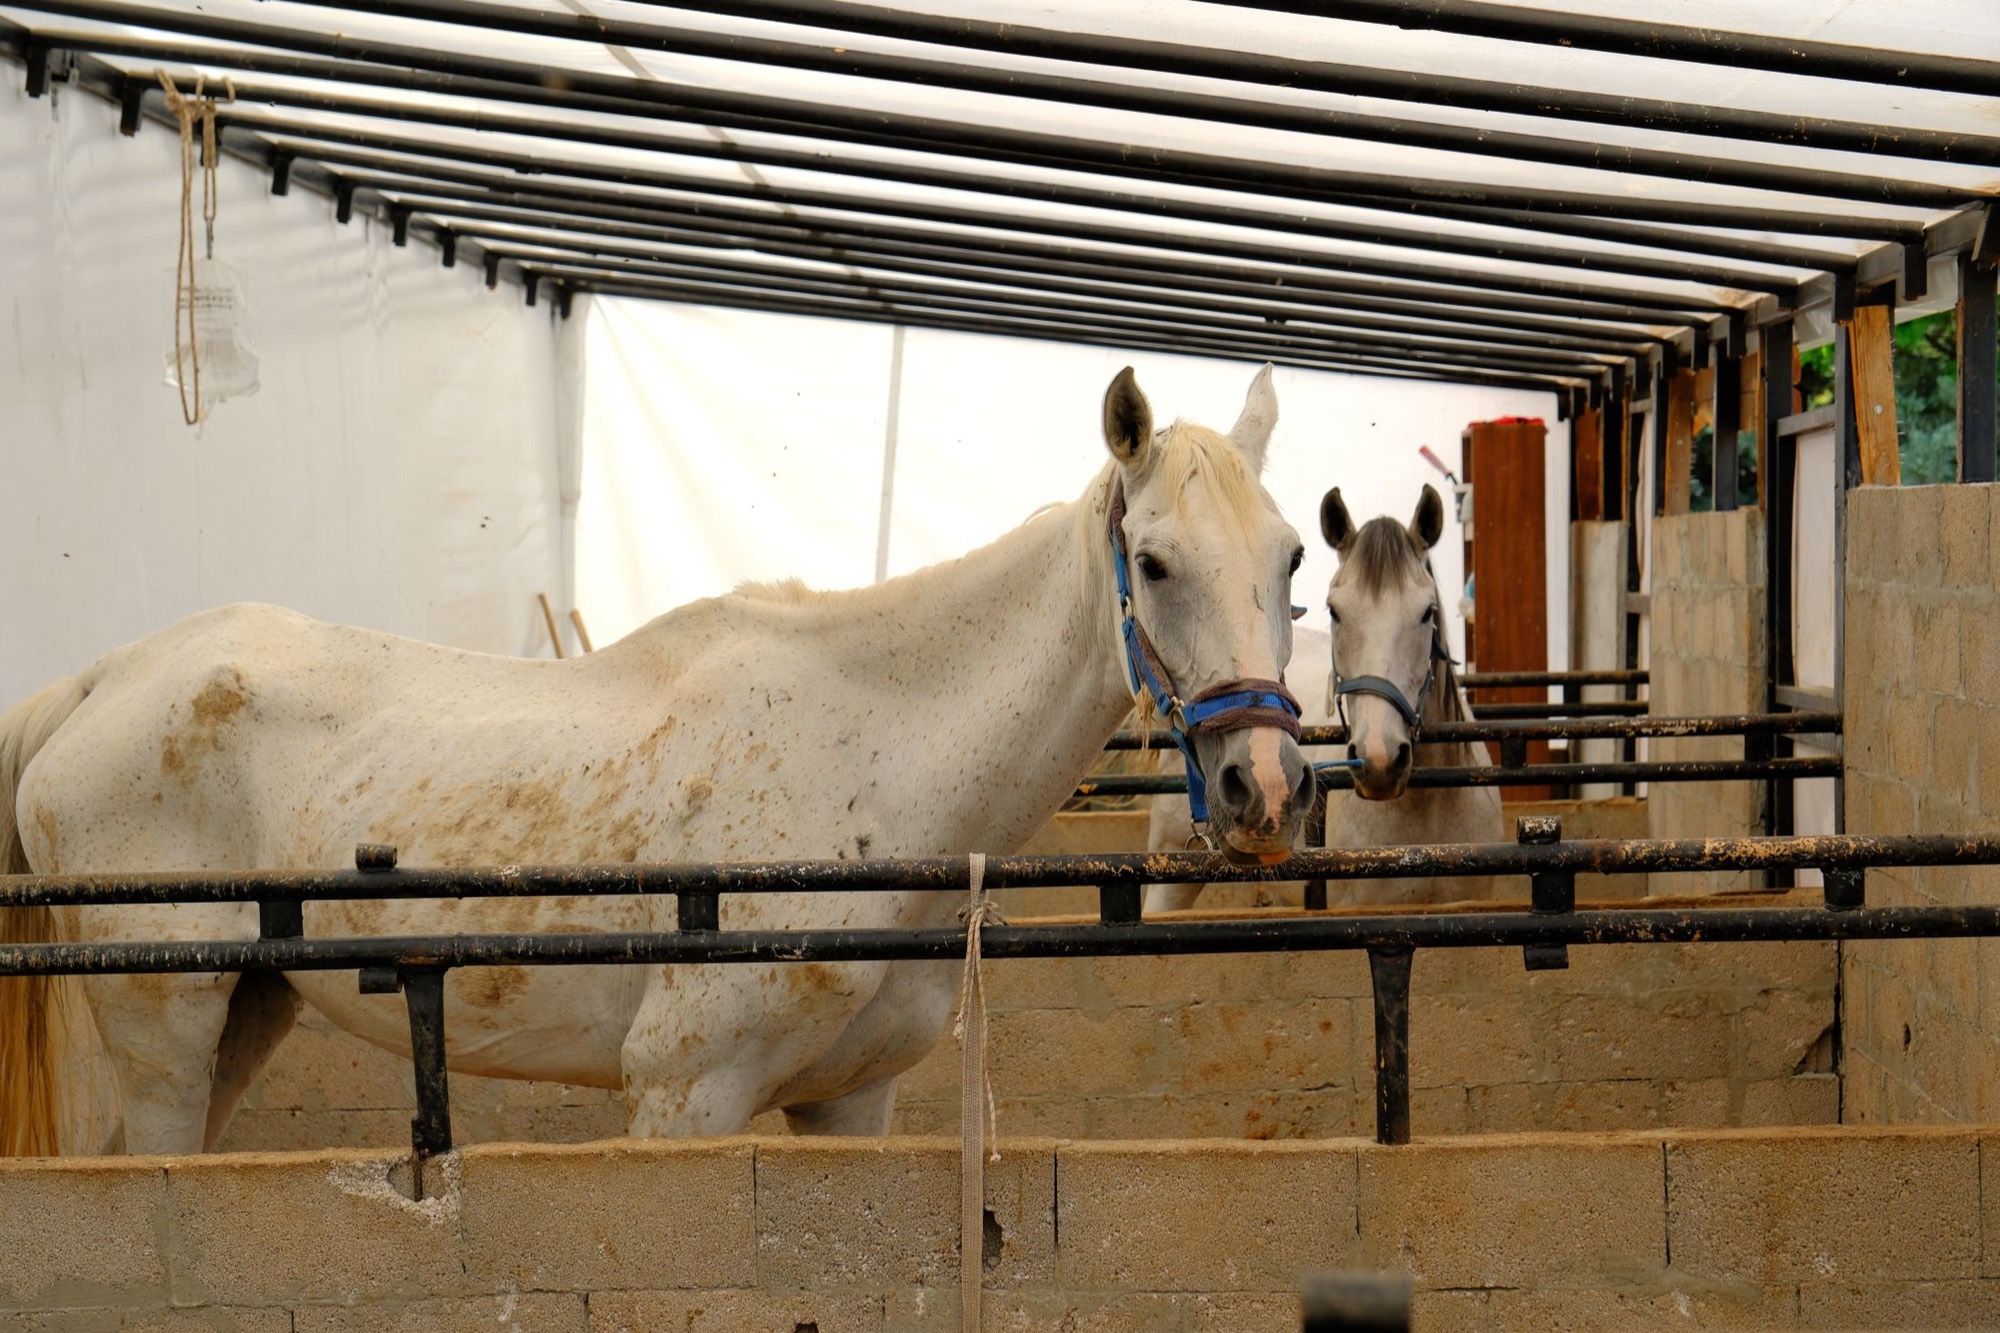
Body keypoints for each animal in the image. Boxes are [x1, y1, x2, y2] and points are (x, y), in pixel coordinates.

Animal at [0, 365, 1314, 1157]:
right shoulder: (685, 1100)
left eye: (1293, 558)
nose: (1261, 786)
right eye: (1153, 561)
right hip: (164, 1031)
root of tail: (102, 678)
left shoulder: (851, 1103)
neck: (872, 762)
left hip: (245, 1011)